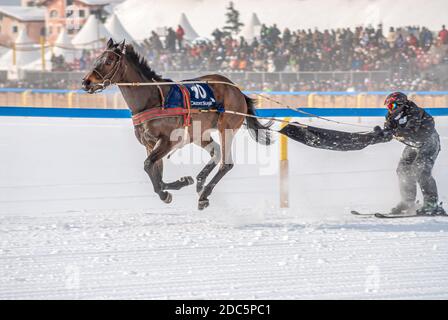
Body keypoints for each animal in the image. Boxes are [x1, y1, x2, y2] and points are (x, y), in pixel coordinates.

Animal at [82, 38, 274, 210]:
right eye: (96, 58)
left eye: (108, 61)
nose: (86, 82)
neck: (153, 100)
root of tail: (237, 90)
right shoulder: (149, 144)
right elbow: (156, 174)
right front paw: (181, 182)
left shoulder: (168, 140)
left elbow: (148, 166)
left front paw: (167, 193)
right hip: (199, 133)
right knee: (216, 152)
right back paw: (200, 181)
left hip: (225, 127)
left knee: (226, 163)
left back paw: (204, 195)